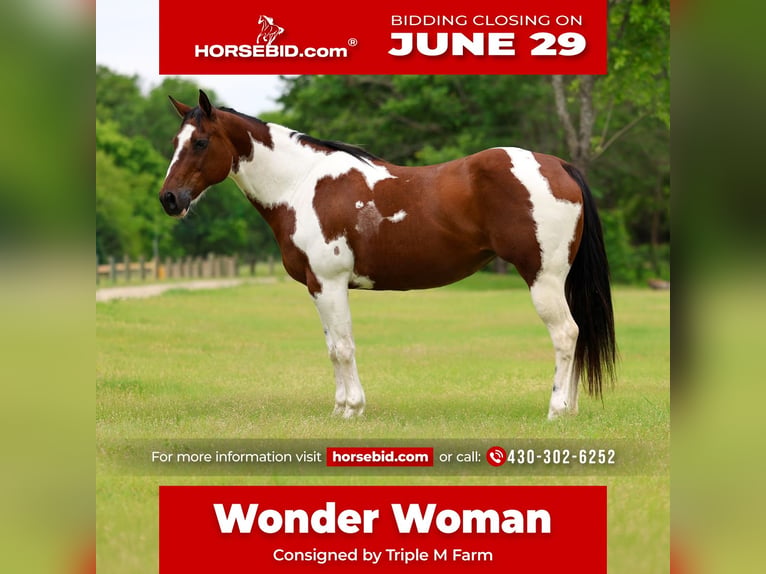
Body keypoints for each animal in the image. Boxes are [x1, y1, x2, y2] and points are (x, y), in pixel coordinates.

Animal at [159, 90, 616, 419]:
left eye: (200, 142)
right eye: (174, 142)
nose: (169, 199)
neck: (301, 185)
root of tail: (558, 165)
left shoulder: (329, 283)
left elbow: (343, 347)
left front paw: (352, 410)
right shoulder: (318, 287)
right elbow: (333, 346)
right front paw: (340, 408)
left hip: (543, 278)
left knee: (566, 334)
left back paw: (556, 410)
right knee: (576, 335)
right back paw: (571, 410)